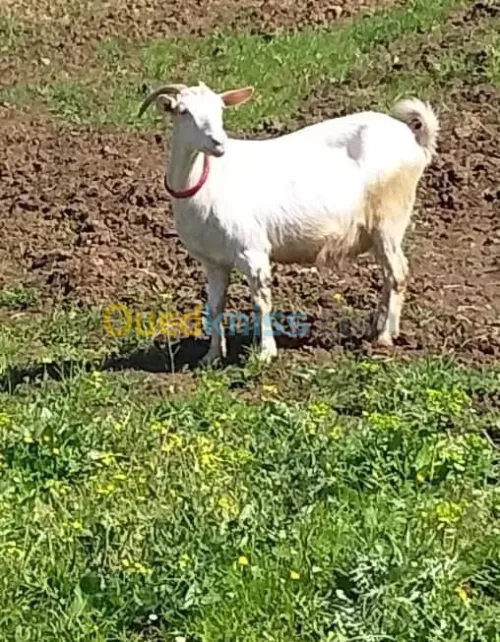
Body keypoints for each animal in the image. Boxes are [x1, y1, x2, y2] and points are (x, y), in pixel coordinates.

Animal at [138, 81, 438, 364]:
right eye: (183, 111)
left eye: (220, 110)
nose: (218, 143)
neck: (207, 181)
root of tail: (413, 139)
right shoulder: (213, 261)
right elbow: (214, 307)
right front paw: (211, 357)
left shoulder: (252, 251)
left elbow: (261, 302)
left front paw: (265, 353)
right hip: (378, 231)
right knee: (389, 275)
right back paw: (382, 328)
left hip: (390, 218)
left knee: (398, 273)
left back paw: (385, 338)